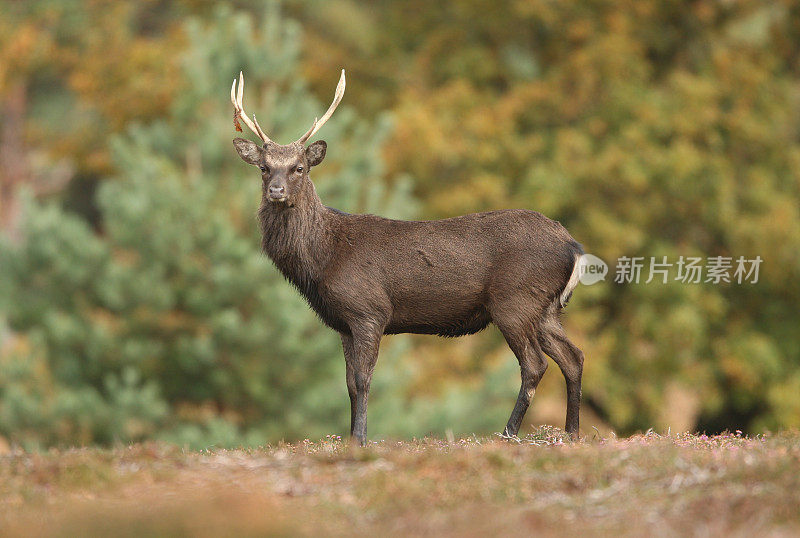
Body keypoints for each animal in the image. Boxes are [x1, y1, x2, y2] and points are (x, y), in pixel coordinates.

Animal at [228, 71, 584, 444]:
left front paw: (360, 438)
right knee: (573, 356)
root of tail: (573, 246)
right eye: (264, 167)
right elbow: (348, 384)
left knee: (535, 364)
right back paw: (572, 432)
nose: (276, 190)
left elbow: (362, 380)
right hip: (546, 309)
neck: (323, 258)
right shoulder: (343, 322)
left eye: (299, 168)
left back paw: (508, 432)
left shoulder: (369, 310)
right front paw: (350, 437)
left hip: (514, 300)